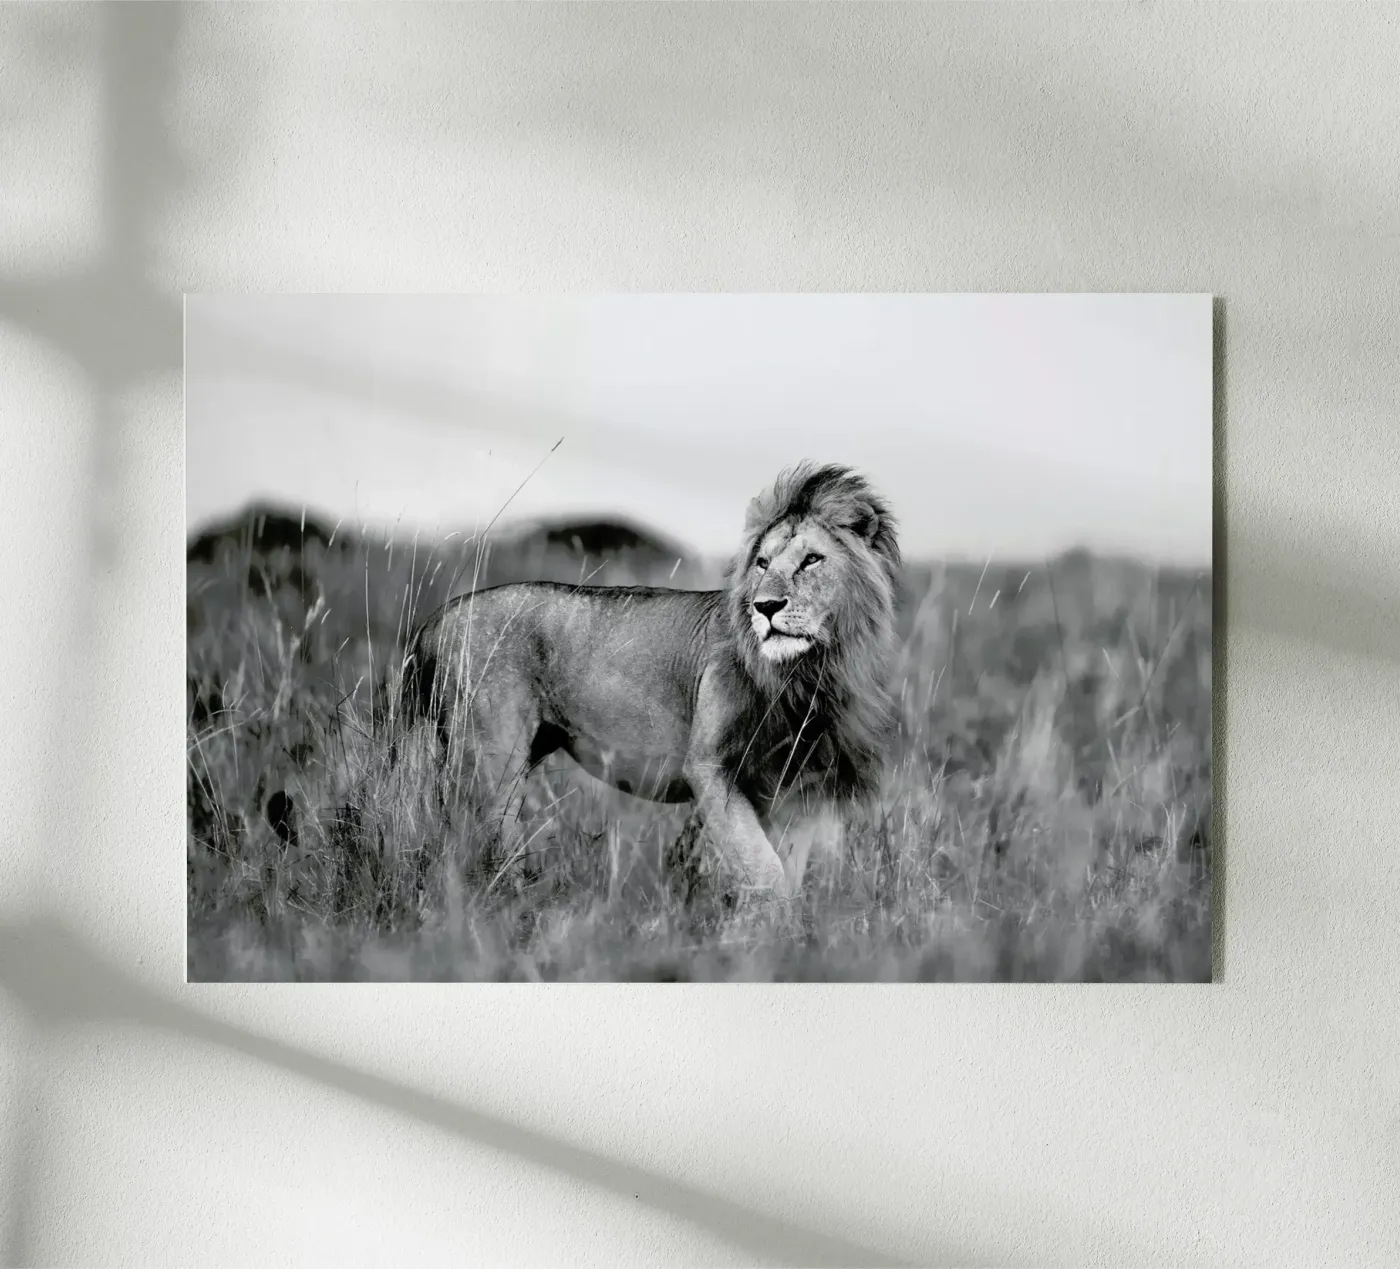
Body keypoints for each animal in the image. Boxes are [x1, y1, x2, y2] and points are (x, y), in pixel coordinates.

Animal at [381, 462, 901, 899]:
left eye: (812, 561)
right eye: (763, 564)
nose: (765, 607)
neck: (810, 673)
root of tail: (436, 620)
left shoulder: (806, 788)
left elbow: (787, 874)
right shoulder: (710, 768)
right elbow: (765, 870)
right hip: (492, 759)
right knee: (480, 842)